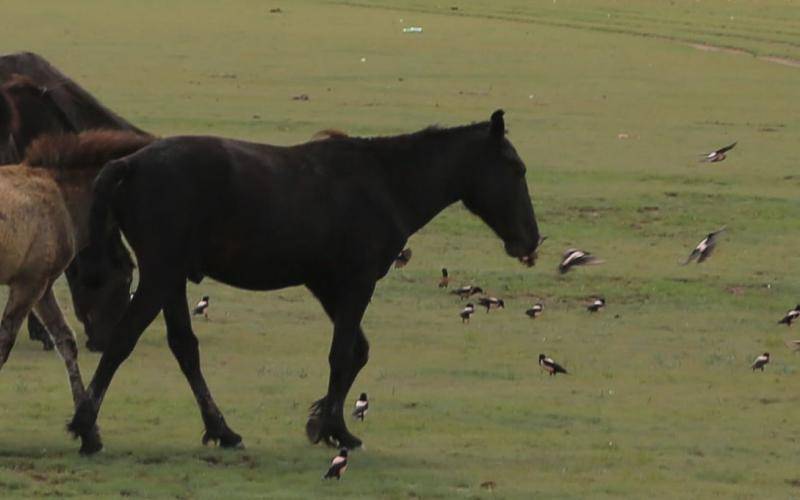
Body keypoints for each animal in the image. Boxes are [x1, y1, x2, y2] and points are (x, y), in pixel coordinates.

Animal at [0, 131, 150, 428]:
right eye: (127, 278)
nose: (104, 341)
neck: (62, 197)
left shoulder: (41, 285)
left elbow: (65, 341)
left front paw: (88, 430)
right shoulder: (28, 284)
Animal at [70, 111, 544, 456]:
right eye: (517, 168)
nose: (530, 240)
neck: (385, 182)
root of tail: (129, 164)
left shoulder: (327, 284)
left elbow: (357, 352)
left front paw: (322, 421)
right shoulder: (355, 283)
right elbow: (342, 353)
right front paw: (337, 429)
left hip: (170, 280)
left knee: (184, 349)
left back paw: (222, 430)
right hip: (160, 275)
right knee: (122, 342)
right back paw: (86, 428)